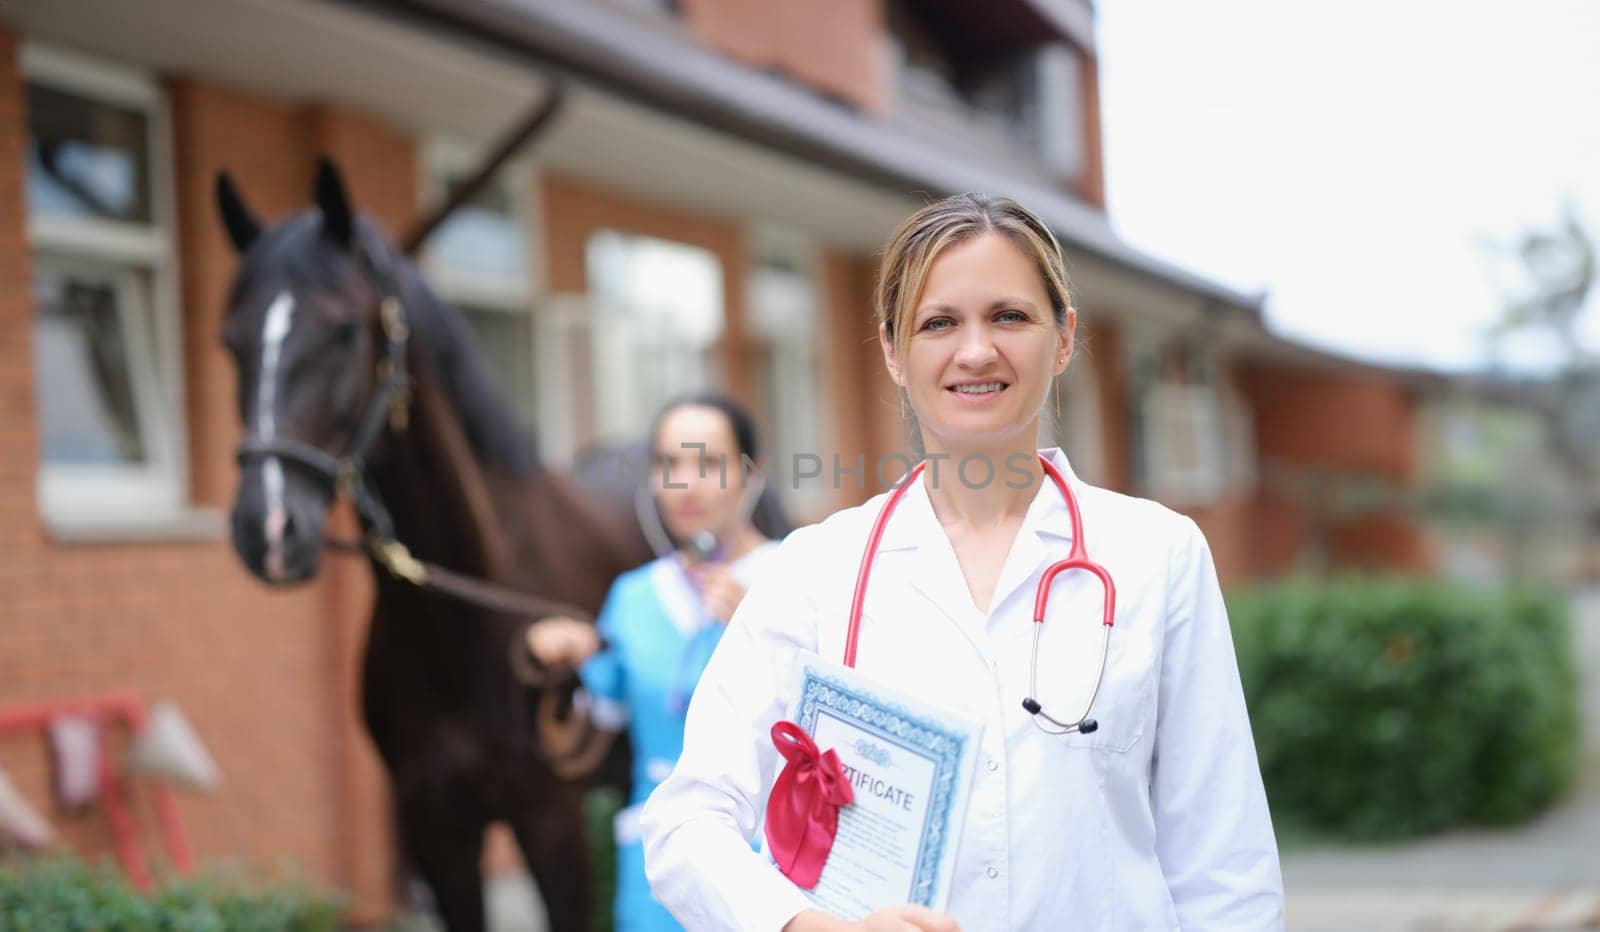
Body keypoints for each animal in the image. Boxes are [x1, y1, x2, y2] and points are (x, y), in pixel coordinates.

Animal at [216, 162, 652, 932]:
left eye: (345, 329)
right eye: (230, 342)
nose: (266, 529)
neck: (466, 622)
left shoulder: (551, 824)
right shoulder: (439, 832)